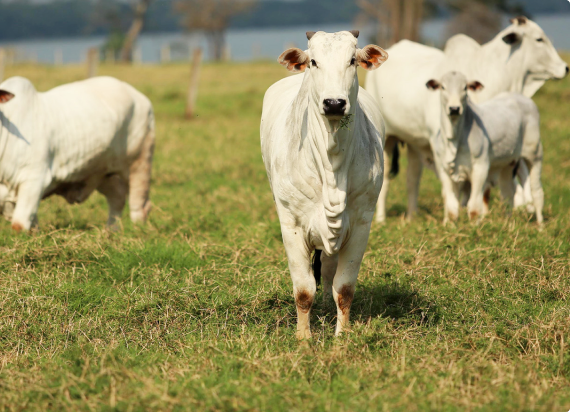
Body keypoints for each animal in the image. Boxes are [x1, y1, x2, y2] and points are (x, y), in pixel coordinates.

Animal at [0, 76, 154, 232]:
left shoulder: (34, 177)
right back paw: (110, 231)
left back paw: (137, 229)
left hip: (139, 163)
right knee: (117, 198)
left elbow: (19, 224)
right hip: (103, 172)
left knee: (139, 205)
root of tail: (140, 97)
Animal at [260, 29, 386, 338]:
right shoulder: (291, 224)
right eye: (314, 62)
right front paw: (303, 338)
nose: (334, 103)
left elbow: (345, 289)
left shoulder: (361, 225)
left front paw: (342, 337)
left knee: (329, 272)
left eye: (352, 60)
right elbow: (304, 291)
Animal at [366, 16, 564, 224]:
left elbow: (483, 187)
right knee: (386, 180)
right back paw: (381, 219)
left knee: (413, 178)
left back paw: (412, 217)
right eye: (539, 39)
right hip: (388, 140)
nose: (565, 68)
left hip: (414, 144)